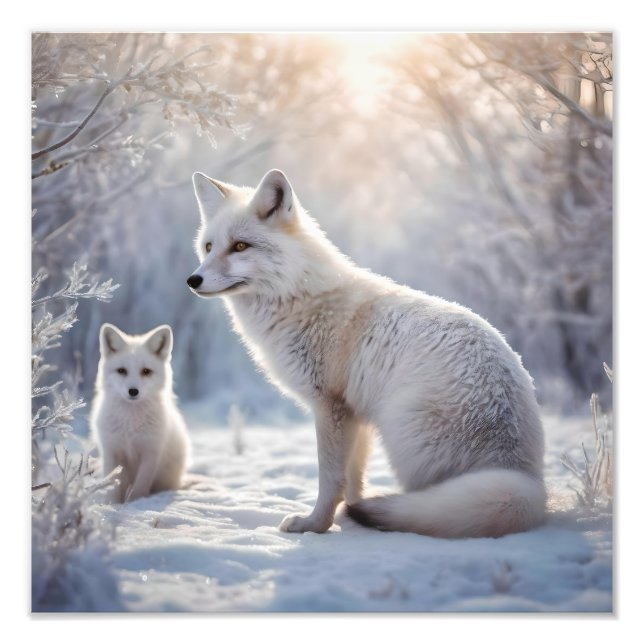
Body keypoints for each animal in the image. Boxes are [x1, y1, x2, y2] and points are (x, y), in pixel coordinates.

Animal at [90, 323, 190, 503]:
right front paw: (112, 504)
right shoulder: (111, 451)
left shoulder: (151, 452)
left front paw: (135, 503)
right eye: (121, 370)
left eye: (146, 371)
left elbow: (140, 486)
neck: (131, 423)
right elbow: (113, 484)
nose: (133, 391)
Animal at [187, 169, 546, 538]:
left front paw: (315, 525)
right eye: (209, 246)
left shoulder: (330, 408)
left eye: (240, 246)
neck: (298, 297)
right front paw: (349, 517)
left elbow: (331, 479)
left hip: (404, 440)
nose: (192, 280)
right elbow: (353, 480)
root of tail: (523, 477)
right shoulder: (354, 415)